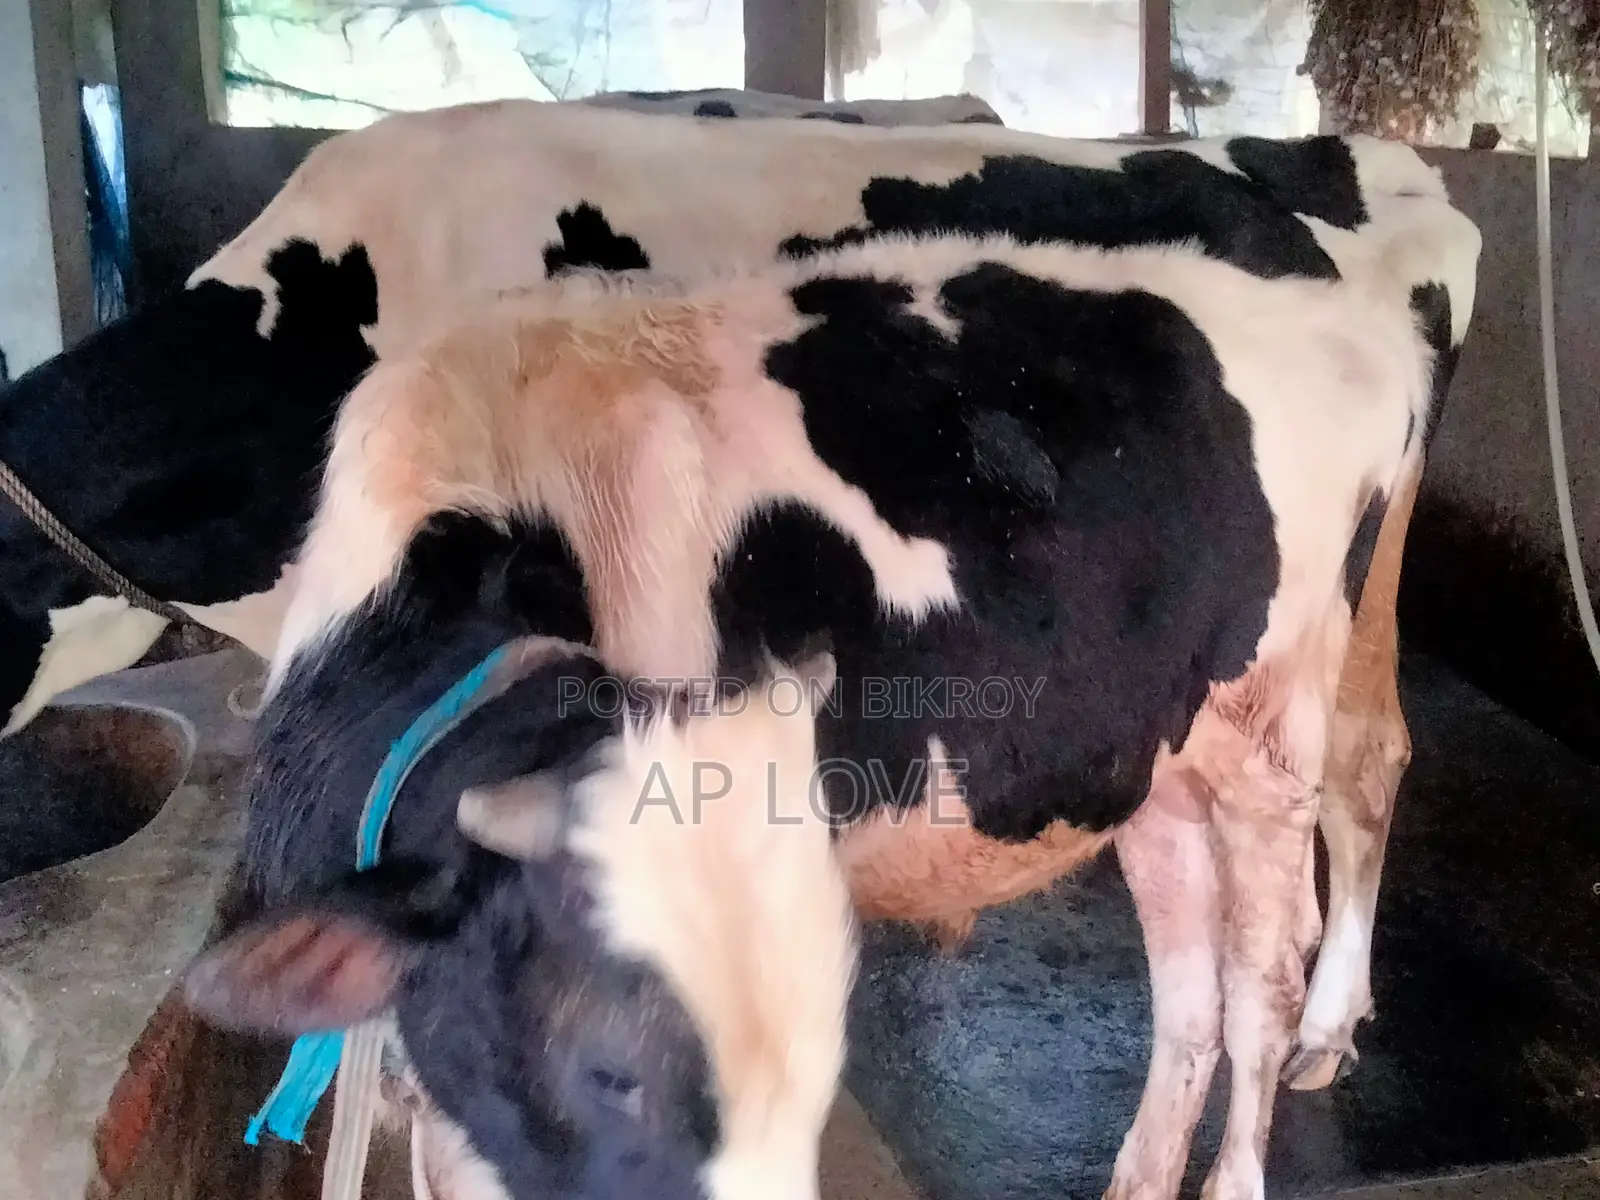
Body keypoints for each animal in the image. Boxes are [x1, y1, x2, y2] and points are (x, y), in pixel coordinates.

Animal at [181, 229, 1433, 1199]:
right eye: (606, 1069)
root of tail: (1352, 321)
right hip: (1158, 766)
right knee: (1186, 998)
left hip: (1272, 732)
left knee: (1264, 975)